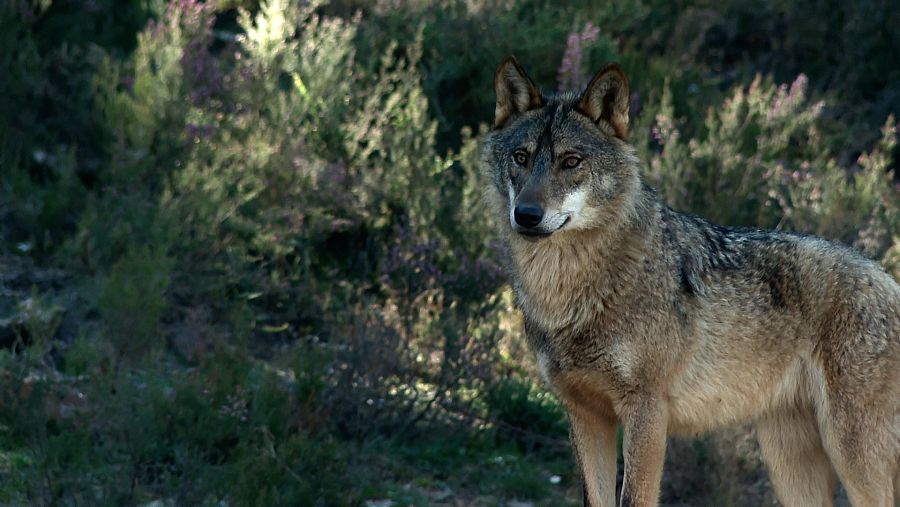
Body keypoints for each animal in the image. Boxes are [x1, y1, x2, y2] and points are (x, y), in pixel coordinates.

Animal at [481, 56, 900, 507]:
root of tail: (890, 281)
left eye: (571, 161)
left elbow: (634, 497)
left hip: (851, 454)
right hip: (788, 462)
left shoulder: (647, 411)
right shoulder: (584, 415)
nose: (526, 215)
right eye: (521, 157)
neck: (570, 295)